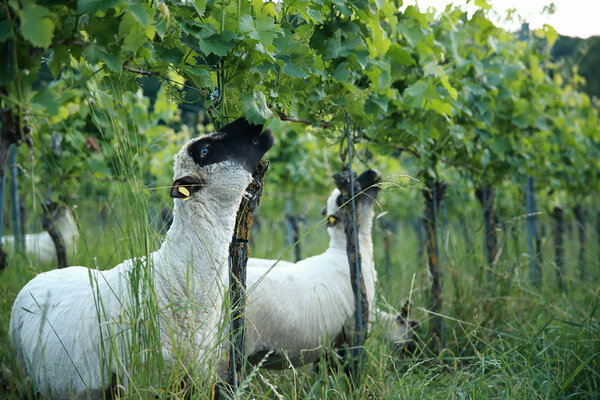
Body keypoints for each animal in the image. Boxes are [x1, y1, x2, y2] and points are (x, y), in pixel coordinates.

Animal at [8, 117, 276, 398]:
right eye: (204, 150)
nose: (253, 122)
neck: (175, 275)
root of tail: (40, 276)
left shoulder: (194, 378)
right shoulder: (141, 382)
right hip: (25, 376)